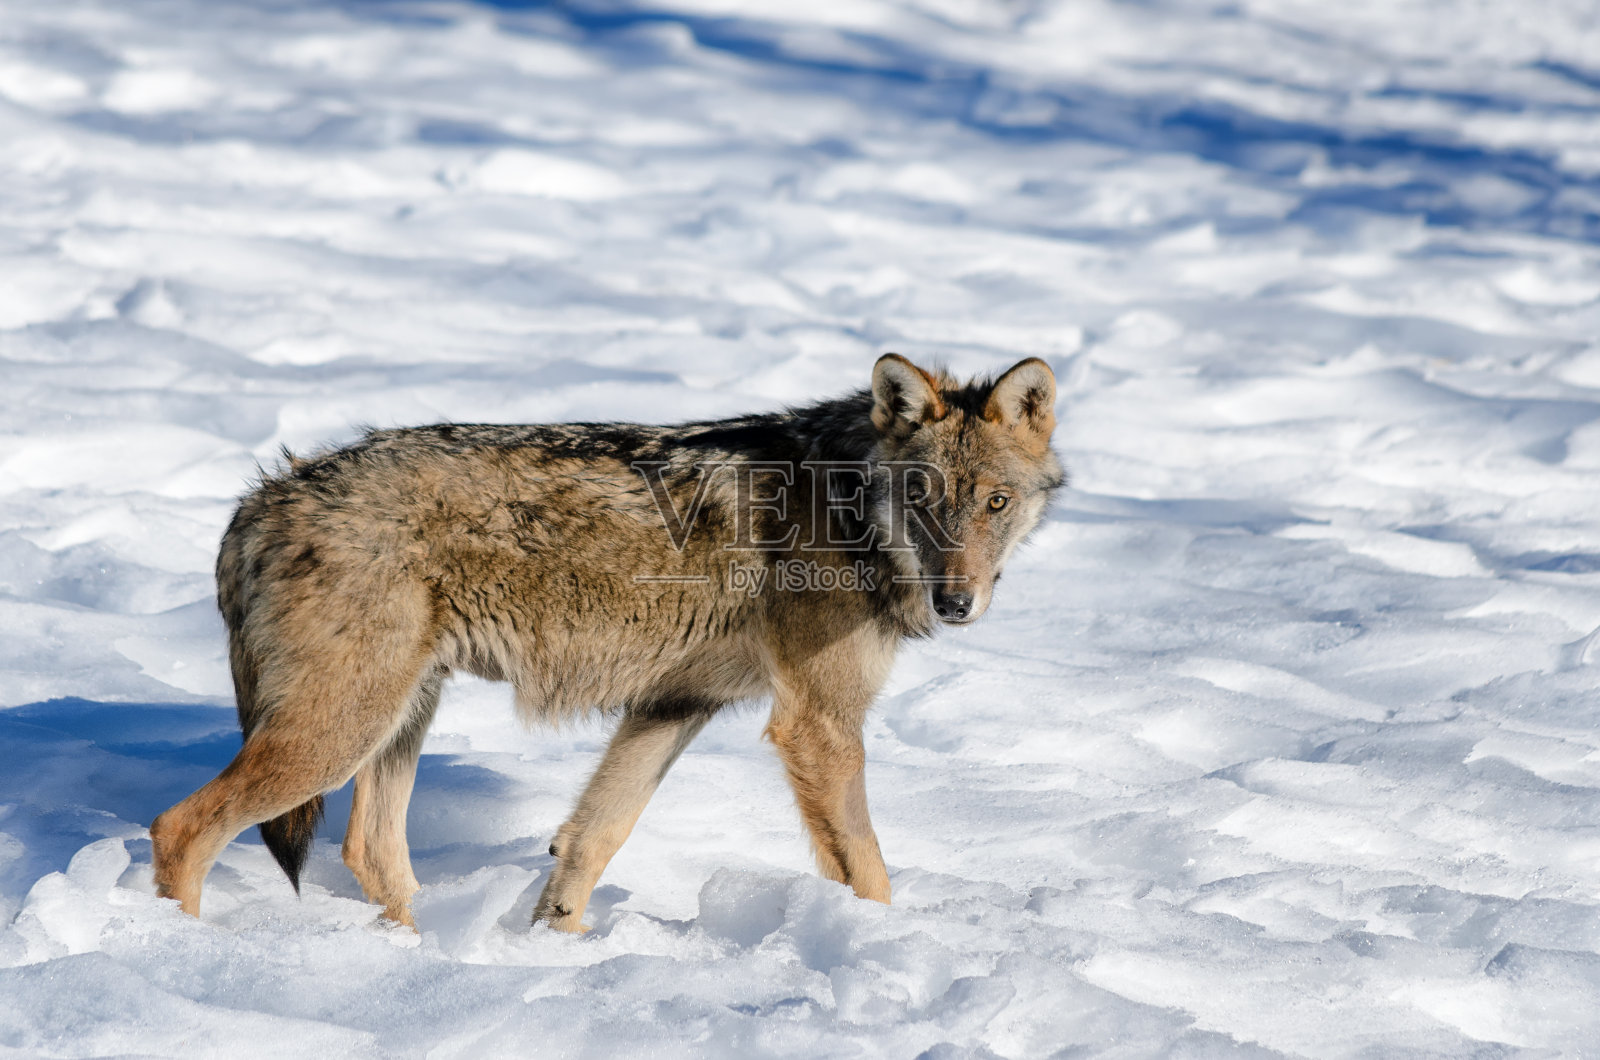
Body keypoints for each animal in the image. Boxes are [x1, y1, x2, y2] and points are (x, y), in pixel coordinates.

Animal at [152, 355, 1062, 928]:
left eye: (995, 502)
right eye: (923, 497)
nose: (955, 601)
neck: (847, 512)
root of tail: (260, 497)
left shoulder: (674, 705)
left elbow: (589, 844)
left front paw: (557, 950)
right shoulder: (817, 726)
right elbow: (867, 873)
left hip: (397, 719)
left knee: (368, 851)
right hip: (337, 730)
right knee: (180, 828)